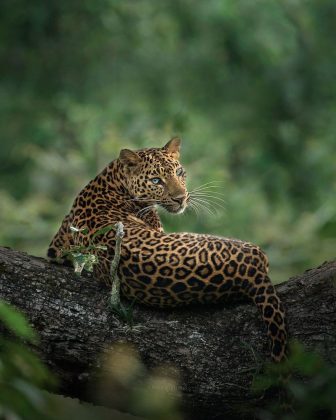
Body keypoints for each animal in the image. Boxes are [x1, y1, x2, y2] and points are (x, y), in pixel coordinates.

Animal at [48, 137, 288, 360]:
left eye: (179, 173)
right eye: (156, 180)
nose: (181, 199)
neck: (112, 180)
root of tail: (251, 271)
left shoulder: (57, 244)